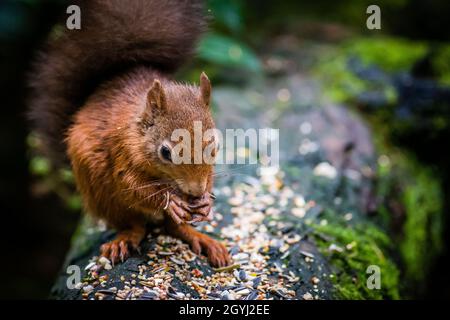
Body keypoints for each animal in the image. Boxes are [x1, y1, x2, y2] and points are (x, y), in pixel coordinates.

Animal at [28, 0, 230, 268]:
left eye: (215, 146)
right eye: (165, 152)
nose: (195, 192)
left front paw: (206, 200)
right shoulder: (121, 150)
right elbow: (133, 185)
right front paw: (170, 200)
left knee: (174, 228)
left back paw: (202, 239)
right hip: (105, 197)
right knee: (134, 225)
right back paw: (124, 240)